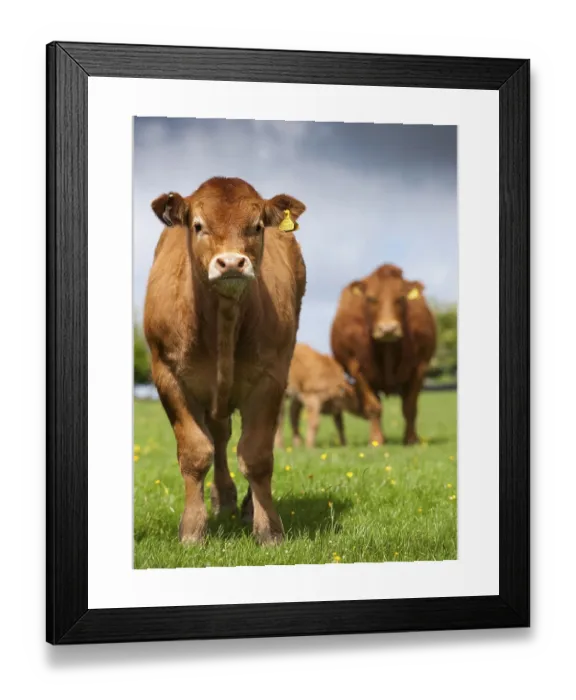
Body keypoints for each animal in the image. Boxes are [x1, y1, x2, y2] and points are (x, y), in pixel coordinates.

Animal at [143, 177, 306, 546]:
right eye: (198, 225)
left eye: (257, 226)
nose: (231, 263)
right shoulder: (167, 376)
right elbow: (195, 452)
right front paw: (192, 530)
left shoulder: (270, 377)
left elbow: (257, 455)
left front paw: (268, 528)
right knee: (218, 436)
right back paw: (223, 499)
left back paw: (245, 506)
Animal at [330, 264, 436, 446]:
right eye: (371, 299)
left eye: (400, 298)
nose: (388, 329)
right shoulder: (357, 369)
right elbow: (374, 406)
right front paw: (376, 441)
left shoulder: (419, 367)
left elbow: (410, 407)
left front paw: (411, 439)